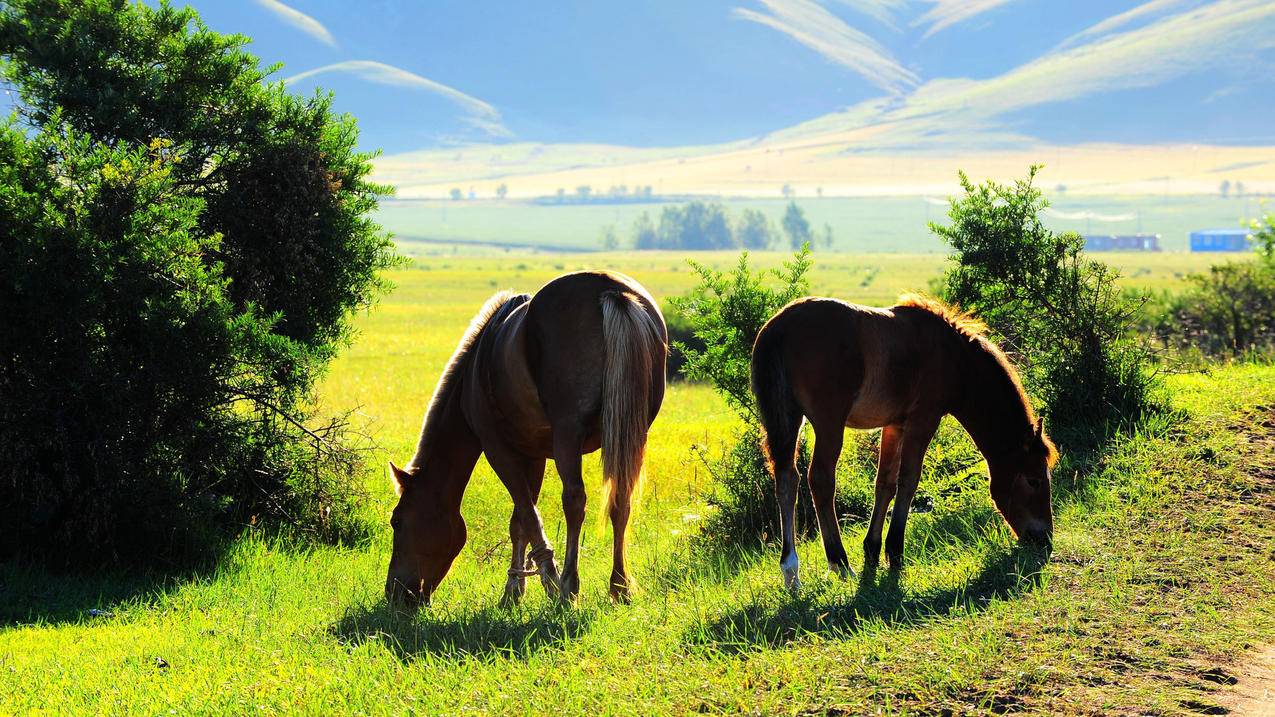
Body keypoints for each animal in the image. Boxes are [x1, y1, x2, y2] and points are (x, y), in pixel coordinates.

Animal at [385, 270, 668, 604]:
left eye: (397, 521)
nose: (394, 592)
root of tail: (610, 290)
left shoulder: (499, 451)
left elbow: (527, 514)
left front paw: (548, 580)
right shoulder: (533, 455)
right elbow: (520, 520)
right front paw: (515, 588)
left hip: (568, 437)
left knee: (574, 500)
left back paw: (569, 586)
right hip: (632, 435)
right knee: (621, 499)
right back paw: (620, 586)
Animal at [744, 292, 1055, 586]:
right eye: (1034, 480)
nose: (1044, 539)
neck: (954, 358)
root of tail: (779, 328)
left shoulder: (895, 426)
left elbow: (885, 483)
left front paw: (872, 550)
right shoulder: (923, 421)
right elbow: (908, 480)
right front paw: (894, 552)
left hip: (787, 420)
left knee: (787, 479)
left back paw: (791, 571)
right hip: (828, 424)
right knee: (820, 480)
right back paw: (839, 563)